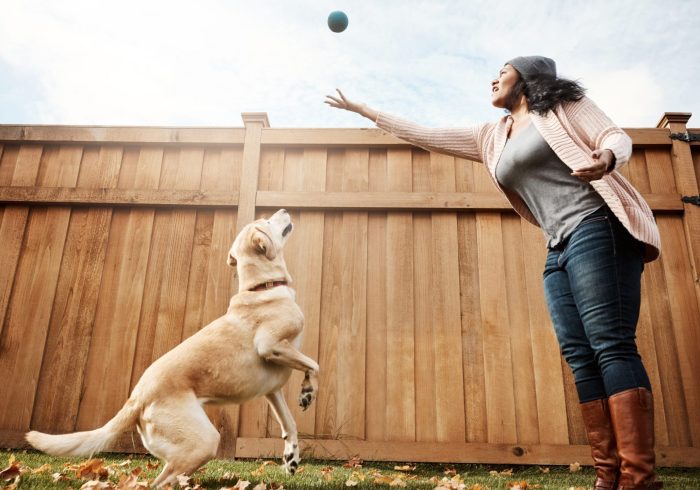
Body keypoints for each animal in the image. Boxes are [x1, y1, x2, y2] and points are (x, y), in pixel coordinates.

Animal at [25, 209, 320, 488]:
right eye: (266, 221)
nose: (283, 210)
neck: (262, 288)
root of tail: (137, 398)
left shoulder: (272, 390)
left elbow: (290, 424)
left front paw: (291, 457)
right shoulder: (269, 346)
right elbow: (315, 365)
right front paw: (308, 392)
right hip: (204, 442)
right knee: (158, 483)